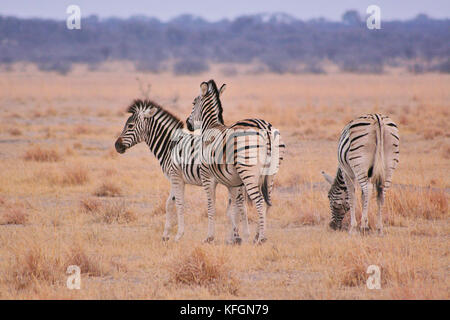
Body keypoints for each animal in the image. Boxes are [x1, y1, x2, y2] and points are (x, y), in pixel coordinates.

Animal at [113, 99, 250, 241]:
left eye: (130, 126)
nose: (116, 146)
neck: (169, 145)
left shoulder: (176, 177)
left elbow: (179, 204)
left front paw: (178, 235)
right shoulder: (174, 178)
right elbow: (169, 203)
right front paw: (166, 235)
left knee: (240, 205)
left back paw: (240, 237)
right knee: (240, 206)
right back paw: (237, 237)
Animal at [185, 80, 284, 245]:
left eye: (193, 103)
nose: (188, 124)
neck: (211, 127)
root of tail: (266, 129)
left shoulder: (207, 177)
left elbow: (212, 207)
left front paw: (210, 237)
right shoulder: (232, 183)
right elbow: (234, 209)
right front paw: (235, 238)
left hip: (248, 172)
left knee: (259, 201)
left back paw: (261, 239)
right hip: (270, 175)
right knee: (267, 203)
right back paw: (259, 236)